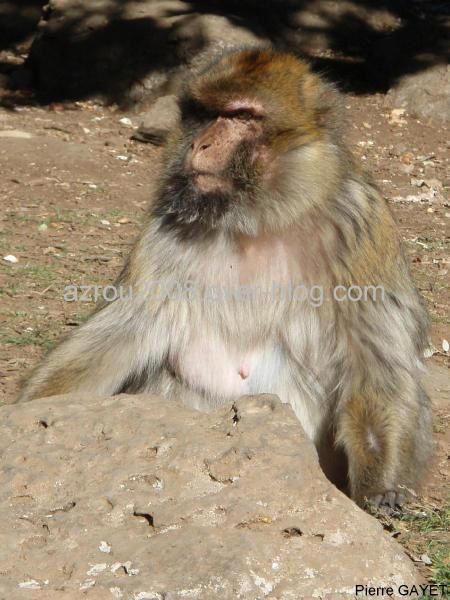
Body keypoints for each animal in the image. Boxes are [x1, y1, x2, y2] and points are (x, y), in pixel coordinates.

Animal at [17, 48, 432, 510]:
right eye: (204, 113)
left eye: (240, 116)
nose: (201, 144)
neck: (256, 222)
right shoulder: (165, 231)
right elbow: (123, 330)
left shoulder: (359, 226)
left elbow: (374, 361)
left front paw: (379, 486)